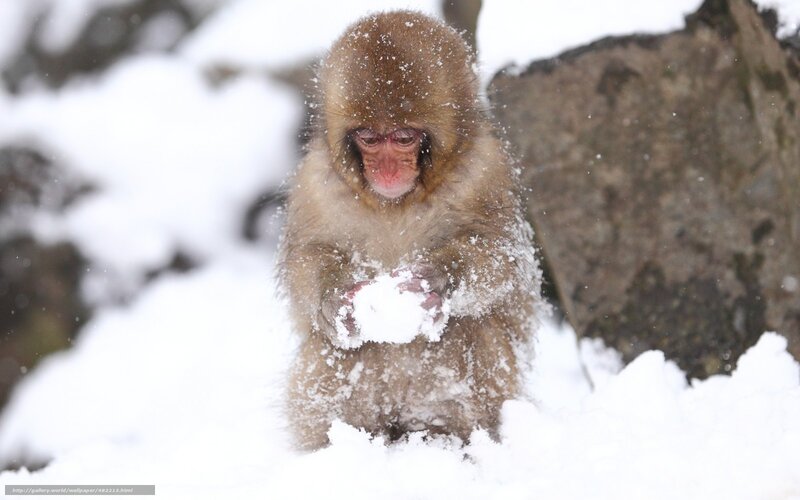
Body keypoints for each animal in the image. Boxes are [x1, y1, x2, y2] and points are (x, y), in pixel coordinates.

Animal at [279, 10, 541, 450]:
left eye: (403, 137)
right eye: (369, 137)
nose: (386, 171)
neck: (394, 203)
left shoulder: (486, 172)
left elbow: (504, 257)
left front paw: (439, 277)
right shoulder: (315, 183)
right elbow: (308, 256)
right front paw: (333, 300)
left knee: (472, 328)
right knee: (330, 350)